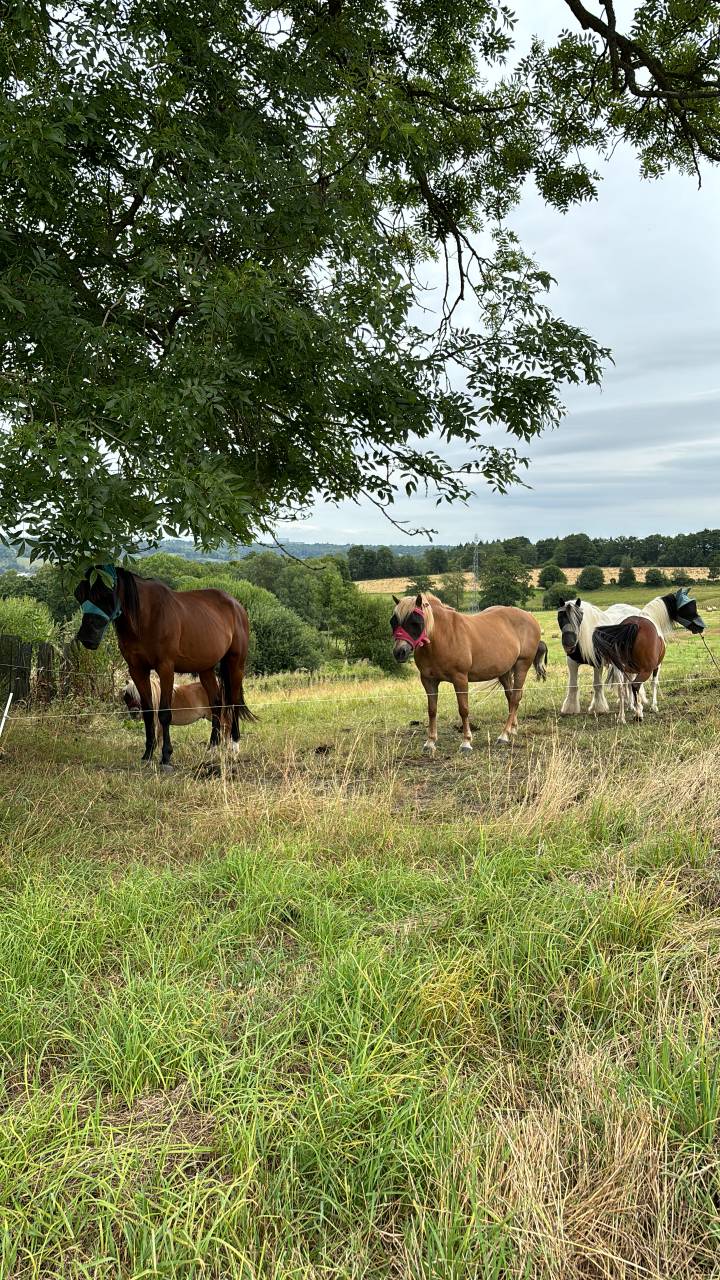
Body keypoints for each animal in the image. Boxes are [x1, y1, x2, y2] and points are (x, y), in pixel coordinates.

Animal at [75, 565, 255, 768]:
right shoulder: (137, 670)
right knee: (216, 704)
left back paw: (234, 747)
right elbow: (148, 712)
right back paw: (212, 749)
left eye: (106, 594)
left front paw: (166, 756)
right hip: (206, 669)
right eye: (79, 594)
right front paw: (147, 754)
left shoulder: (166, 668)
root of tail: (237, 606)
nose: (87, 638)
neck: (147, 617)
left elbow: (164, 714)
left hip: (236, 665)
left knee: (234, 703)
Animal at [390, 593, 545, 749]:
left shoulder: (460, 679)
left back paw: (504, 735)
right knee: (510, 697)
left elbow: (463, 709)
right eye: (393, 622)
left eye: (415, 623)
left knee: (515, 698)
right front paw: (430, 741)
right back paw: (512, 728)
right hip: (504, 672)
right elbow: (432, 710)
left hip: (522, 666)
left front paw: (466, 741)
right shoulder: (428, 680)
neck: (441, 637)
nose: (399, 652)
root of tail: (530, 616)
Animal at [559, 589, 705, 715]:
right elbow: (654, 683)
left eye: (578, 618)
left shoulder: (596, 664)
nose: (701, 627)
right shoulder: (657, 666)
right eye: (688, 607)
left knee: (627, 684)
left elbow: (596, 685)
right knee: (633, 684)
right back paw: (636, 709)